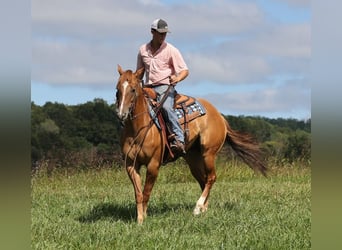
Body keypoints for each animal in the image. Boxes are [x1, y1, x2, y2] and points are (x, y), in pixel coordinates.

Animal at [115, 65, 268, 224]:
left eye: (133, 89)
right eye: (117, 89)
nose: (121, 114)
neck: (139, 128)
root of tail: (219, 116)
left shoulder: (153, 165)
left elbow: (146, 192)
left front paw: (144, 217)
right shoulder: (131, 165)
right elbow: (138, 194)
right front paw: (139, 219)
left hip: (208, 153)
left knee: (211, 178)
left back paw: (197, 207)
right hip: (193, 159)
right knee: (203, 180)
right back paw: (203, 210)